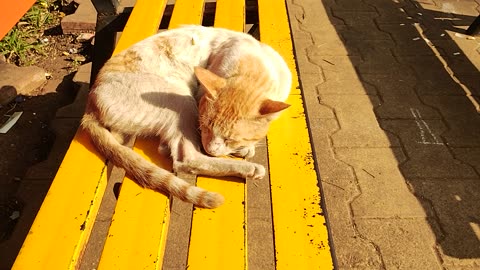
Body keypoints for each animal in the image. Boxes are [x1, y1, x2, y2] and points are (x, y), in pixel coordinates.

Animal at [81, 24, 292, 208]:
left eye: (230, 138)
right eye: (204, 126)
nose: (210, 149)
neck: (252, 68)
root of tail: (90, 100)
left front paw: (243, 148)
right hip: (181, 99)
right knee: (186, 159)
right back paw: (249, 169)